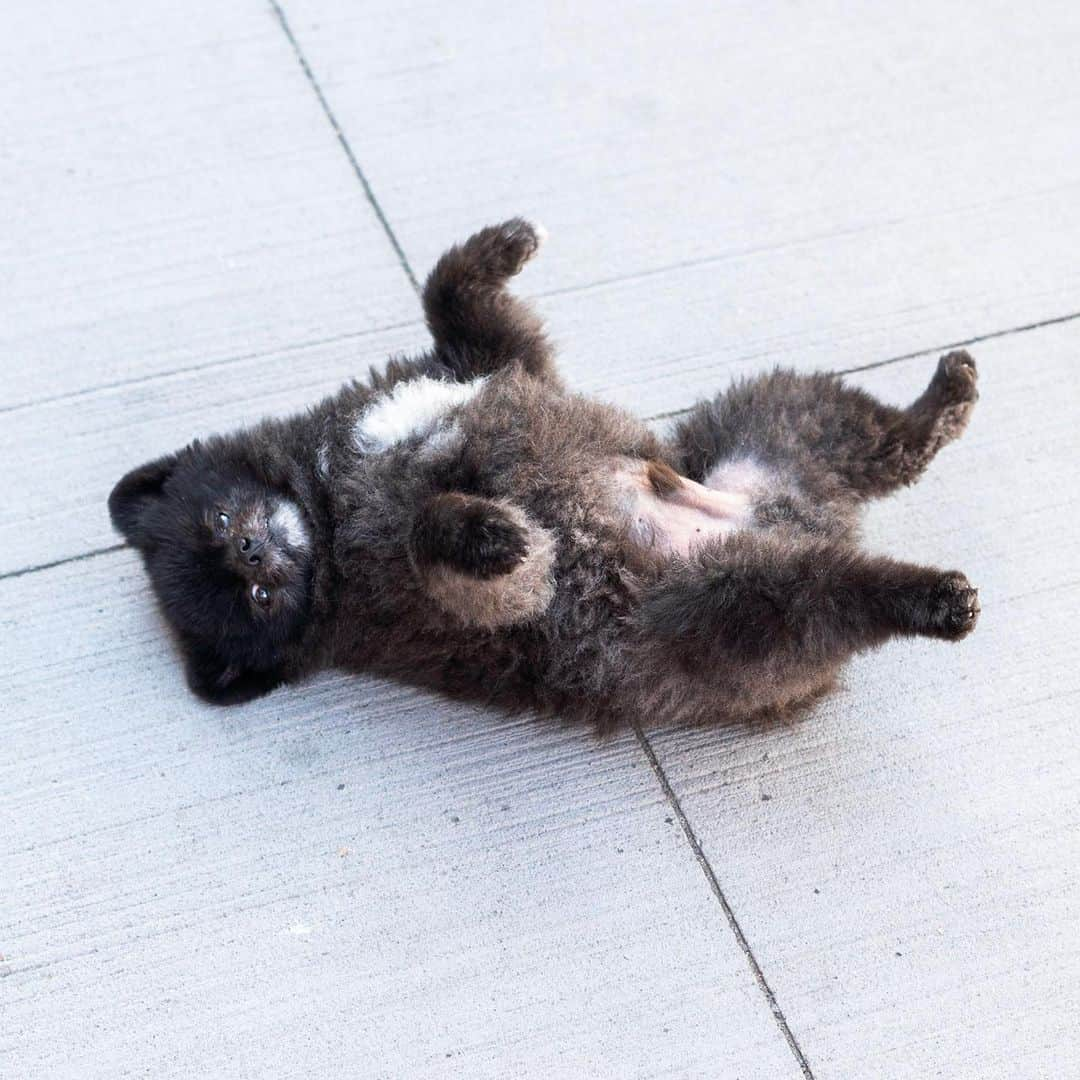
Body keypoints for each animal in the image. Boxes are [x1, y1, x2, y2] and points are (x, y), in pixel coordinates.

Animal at [107, 219, 980, 725]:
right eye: (255, 599)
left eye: (222, 522)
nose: (253, 552)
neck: (327, 495)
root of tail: (798, 522)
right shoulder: (442, 593)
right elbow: (443, 534)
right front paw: (489, 531)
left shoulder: (493, 364)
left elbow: (453, 295)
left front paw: (502, 244)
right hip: (735, 609)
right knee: (826, 594)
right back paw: (930, 599)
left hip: (773, 421)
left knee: (872, 441)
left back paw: (943, 403)